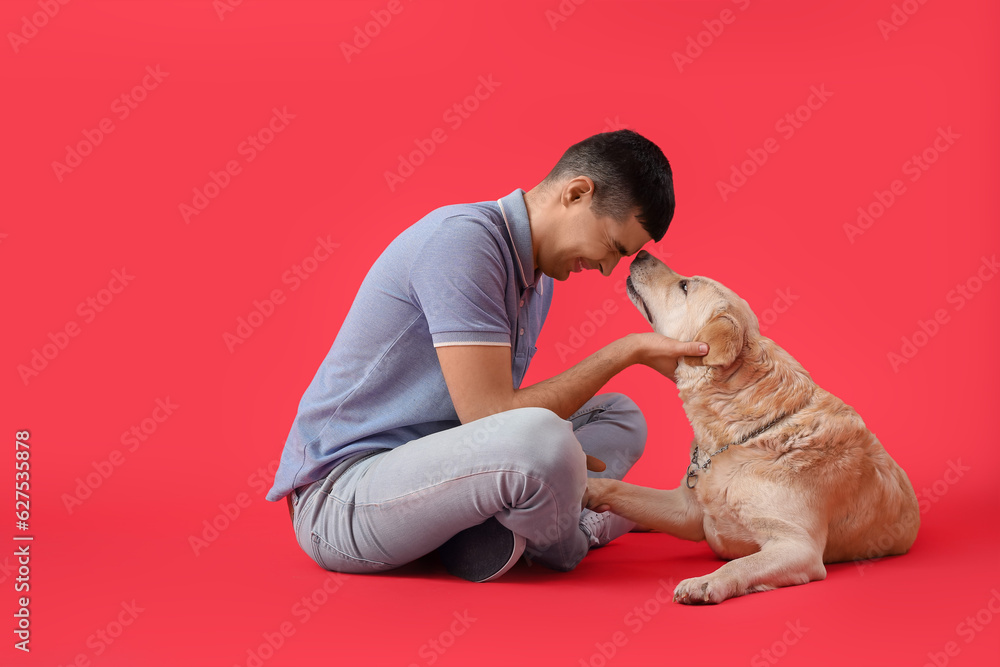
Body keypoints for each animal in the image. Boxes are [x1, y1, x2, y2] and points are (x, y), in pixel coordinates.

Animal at [584, 250, 920, 604]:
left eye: (684, 286)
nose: (641, 253)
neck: (741, 435)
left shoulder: (797, 546)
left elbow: (740, 564)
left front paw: (704, 582)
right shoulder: (686, 510)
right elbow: (619, 488)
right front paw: (588, 488)